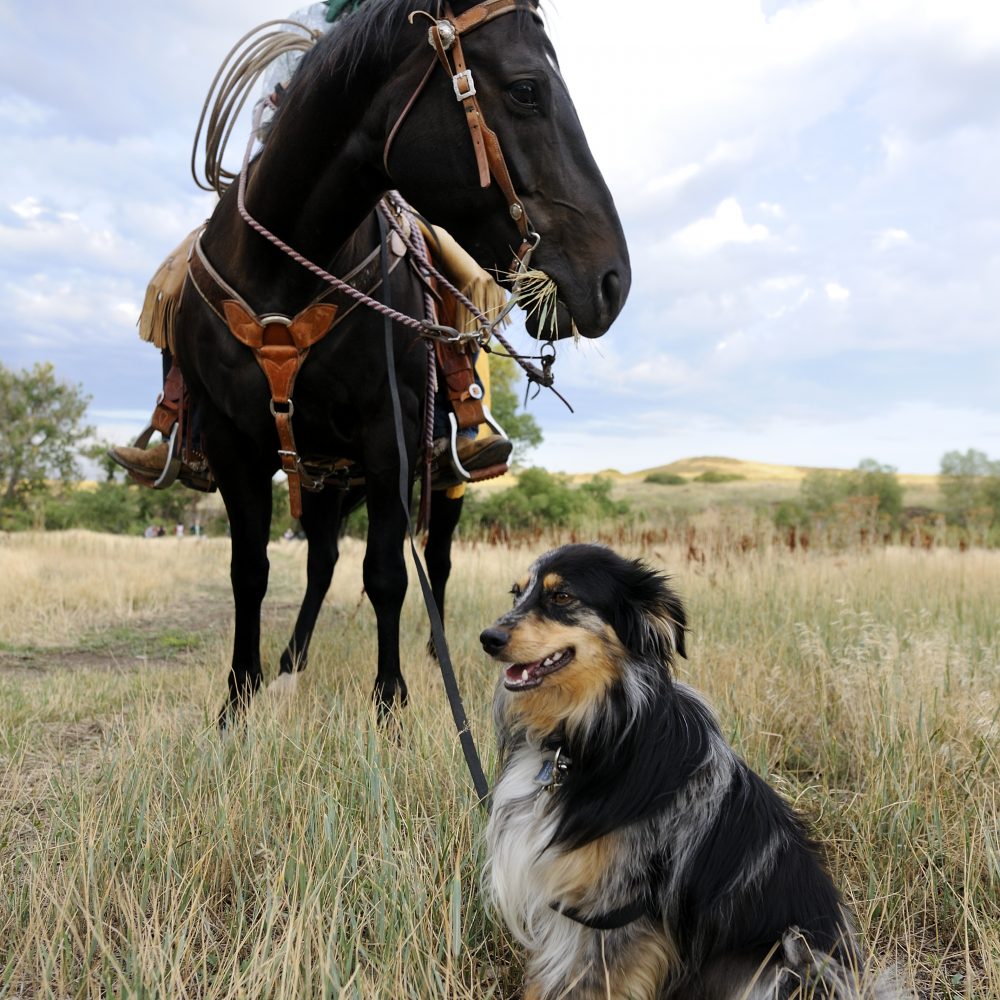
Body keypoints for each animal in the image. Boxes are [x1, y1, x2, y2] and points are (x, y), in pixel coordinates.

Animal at [171, 3, 624, 732]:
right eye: (527, 90)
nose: (612, 280)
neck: (280, 275)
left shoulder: (392, 436)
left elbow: (387, 573)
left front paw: (390, 704)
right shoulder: (233, 441)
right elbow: (250, 571)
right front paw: (238, 699)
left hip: (443, 478)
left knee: (432, 559)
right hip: (323, 474)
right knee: (323, 560)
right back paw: (292, 663)